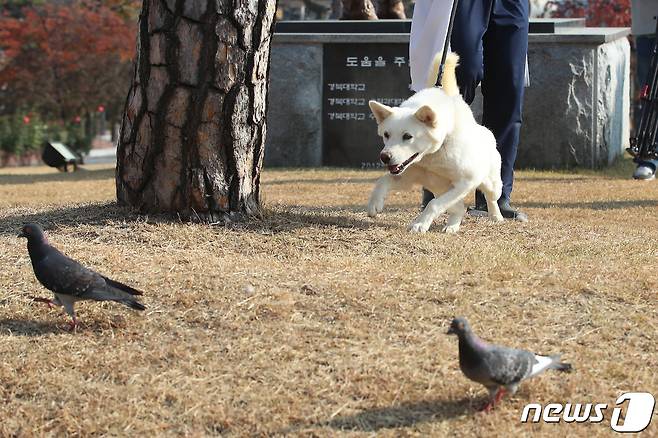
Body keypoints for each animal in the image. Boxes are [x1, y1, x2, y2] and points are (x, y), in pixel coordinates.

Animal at [364, 52, 502, 233]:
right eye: (386, 135)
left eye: (407, 136)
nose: (384, 157)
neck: (431, 156)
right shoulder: (407, 176)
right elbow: (382, 181)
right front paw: (375, 204)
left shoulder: (466, 182)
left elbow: (433, 205)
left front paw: (420, 224)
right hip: (439, 188)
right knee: (459, 208)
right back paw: (452, 227)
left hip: (489, 184)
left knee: (491, 198)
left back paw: (496, 216)